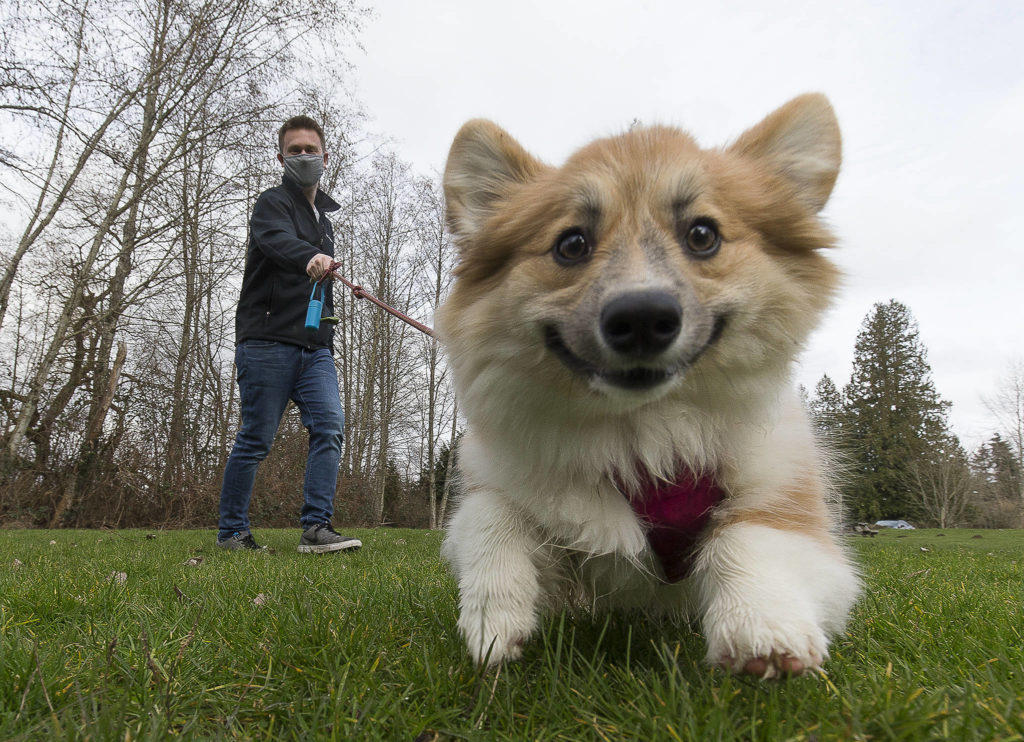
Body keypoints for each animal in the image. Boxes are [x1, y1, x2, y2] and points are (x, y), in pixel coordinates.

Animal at [436, 94, 860, 675]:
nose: (641, 317)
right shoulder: (501, 477)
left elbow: (747, 535)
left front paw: (761, 628)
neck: (645, 433)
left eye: (702, 235)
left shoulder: (796, 508)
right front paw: (493, 619)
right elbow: (491, 517)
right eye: (572, 244)